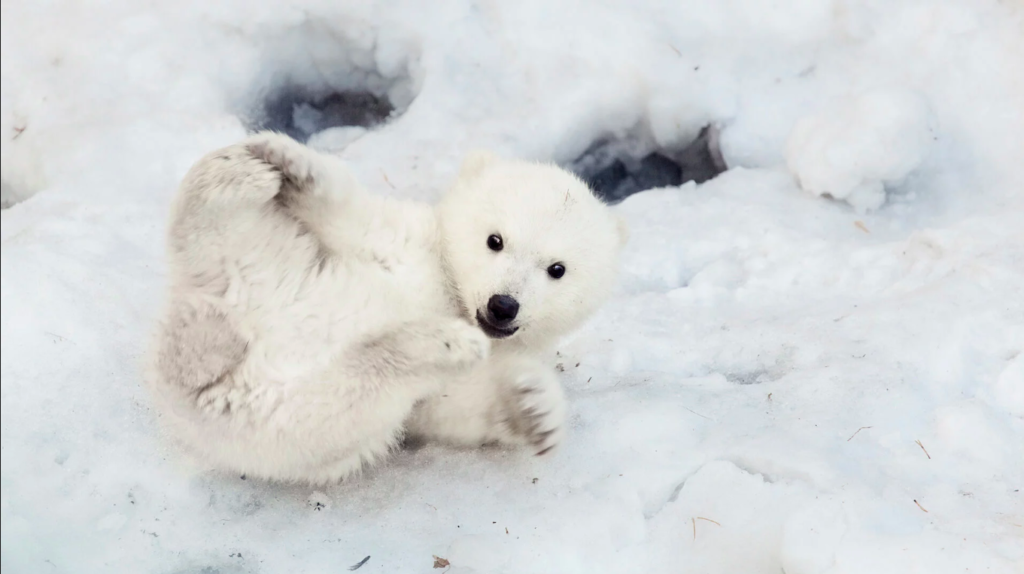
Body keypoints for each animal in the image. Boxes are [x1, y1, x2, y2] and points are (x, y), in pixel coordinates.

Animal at [147, 131, 627, 484]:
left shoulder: (488, 361)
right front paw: (293, 164)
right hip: (270, 259)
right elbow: (355, 219)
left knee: (331, 406)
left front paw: (535, 408)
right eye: (495, 239)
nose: (503, 305)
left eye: (557, 269)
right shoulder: (407, 246)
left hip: (262, 406)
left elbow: (458, 402)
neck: (450, 294)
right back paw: (236, 174)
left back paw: (439, 344)